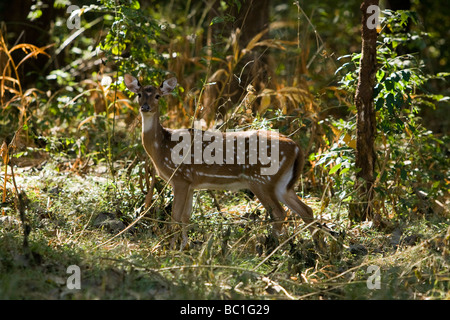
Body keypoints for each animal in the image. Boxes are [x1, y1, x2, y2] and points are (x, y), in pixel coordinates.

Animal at [125, 74, 318, 249]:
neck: (162, 147)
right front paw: (184, 247)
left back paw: (274, 250)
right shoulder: (190, 183)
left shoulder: (179, 177)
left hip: (261, 180)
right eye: (139, 94)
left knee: (279, 213)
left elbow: (175, 217)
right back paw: (315, 250)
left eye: (157, 95)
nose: (145, 107)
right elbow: (186, 217)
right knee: (306, 210)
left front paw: (170, 248)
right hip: (282, 184)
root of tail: (297, 148)